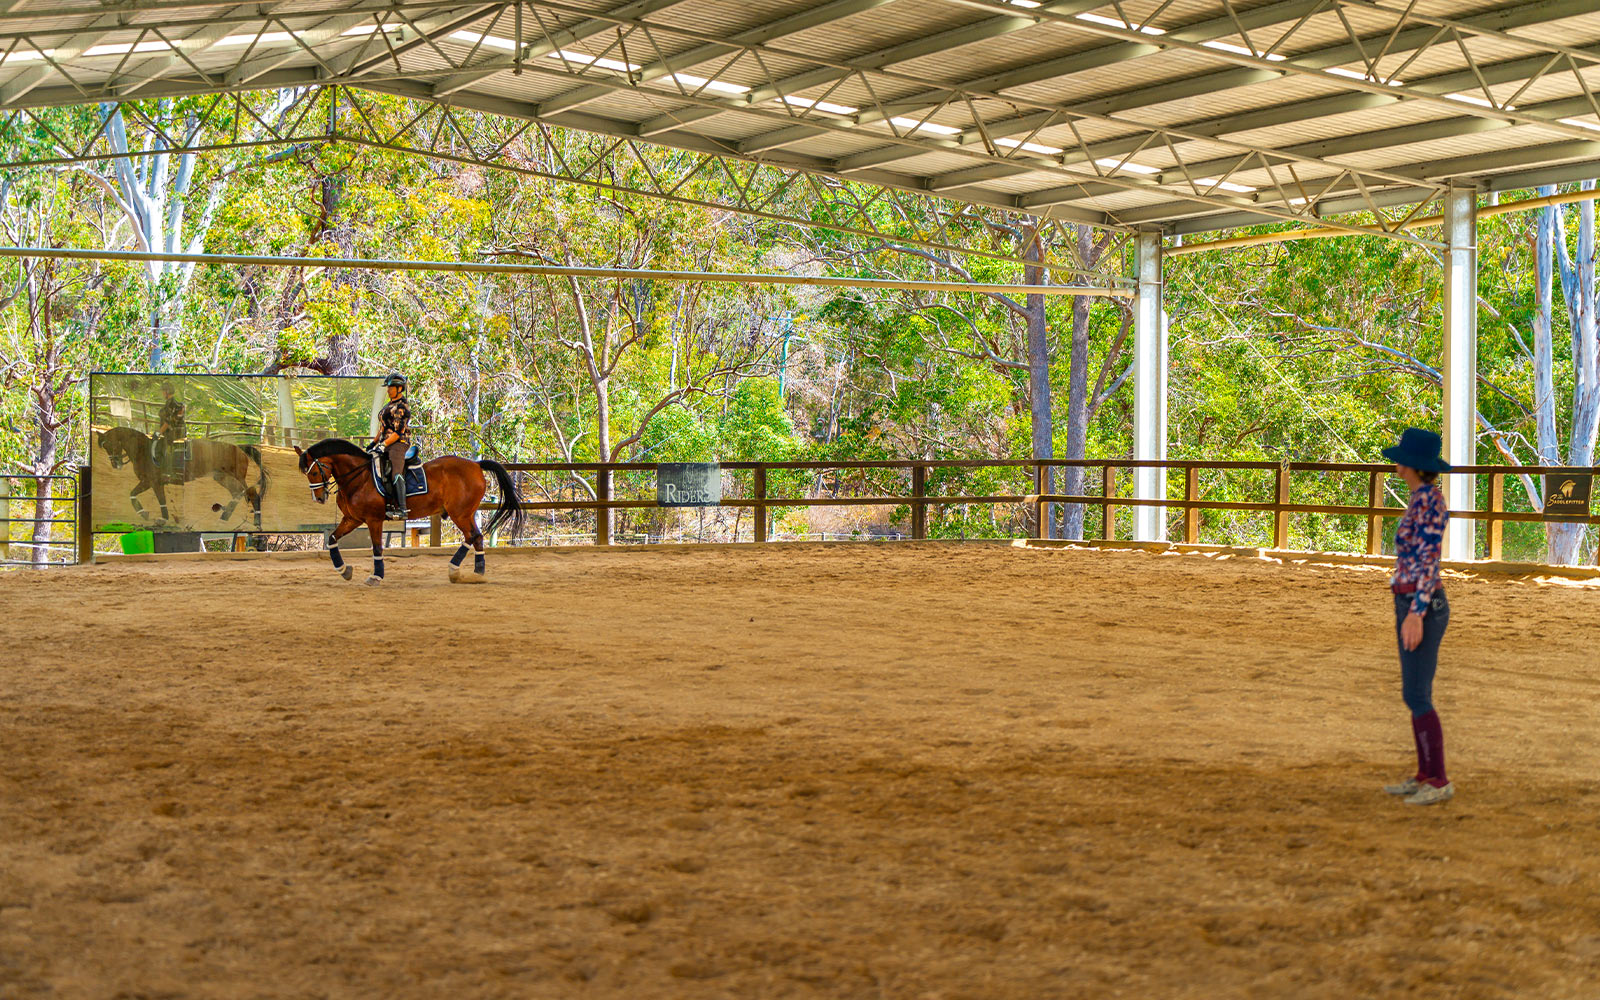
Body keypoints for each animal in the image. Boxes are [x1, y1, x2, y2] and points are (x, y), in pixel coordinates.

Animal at [98, 425, 267, 528]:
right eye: (104, 446)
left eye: (110, 444)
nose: (115, 464)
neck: (143, 451)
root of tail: (239, 449)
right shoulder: (147, 482)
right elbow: (132, 494)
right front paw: (144, 513)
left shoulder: (154, 482)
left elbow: (160, 500)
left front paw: (161, 519)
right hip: (222, 478)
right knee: (238, 494)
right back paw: (223, 520)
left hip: (236, 477)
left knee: (251, 494)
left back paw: (256, 522)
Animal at [294, 435, 524, 585]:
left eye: (313, 472)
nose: (319, 498)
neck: (359, 477)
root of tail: (476, 465)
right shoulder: (352, 519)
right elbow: (332, 539)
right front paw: (344, 570)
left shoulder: (373, 520)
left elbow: (377, 548)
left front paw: (376, 576)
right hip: (464, 513)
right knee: (476, 537)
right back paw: (475, 572)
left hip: (460, 513)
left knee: (472, 536)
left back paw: (458, 570)